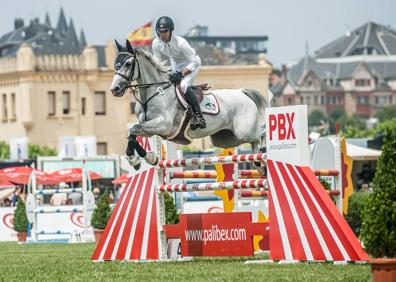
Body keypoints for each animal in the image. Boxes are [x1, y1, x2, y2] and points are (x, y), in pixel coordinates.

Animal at [110, 40, 268, 169]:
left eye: (128, 64)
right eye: (115, 65)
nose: (115, 89)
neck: (154, 92)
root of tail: (242, 93)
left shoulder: (163, 125)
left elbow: (134, 129)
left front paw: (139, 158)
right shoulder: (150, 129)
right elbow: (133, 133)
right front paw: (145, 159)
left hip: (244, 131)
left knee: (261, 132)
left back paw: (264, 152)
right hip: (227, 139)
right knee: (253, 143)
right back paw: (258, 163)